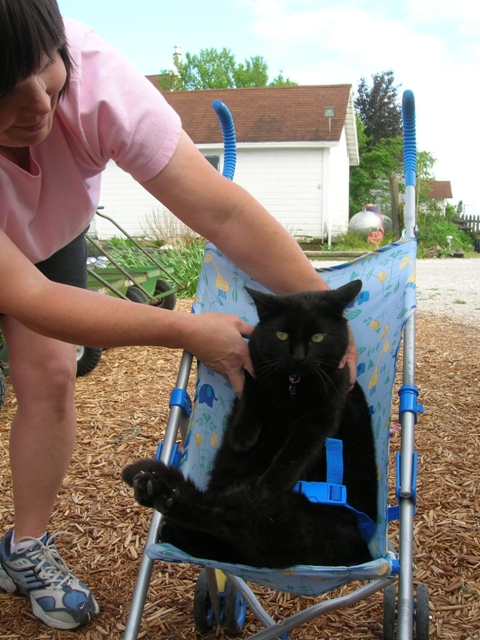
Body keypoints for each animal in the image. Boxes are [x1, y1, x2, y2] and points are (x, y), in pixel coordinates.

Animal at [124, 282, 378, 568]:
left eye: (318, 337)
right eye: (281, 335)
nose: (298, 357)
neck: (293, 382)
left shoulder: (321, 414)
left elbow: (295, 453)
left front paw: (271, 482)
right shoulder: (255, 369)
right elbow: (249, 394)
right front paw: (242, 435)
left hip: (288, 520)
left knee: (225, 519)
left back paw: (161, 493)